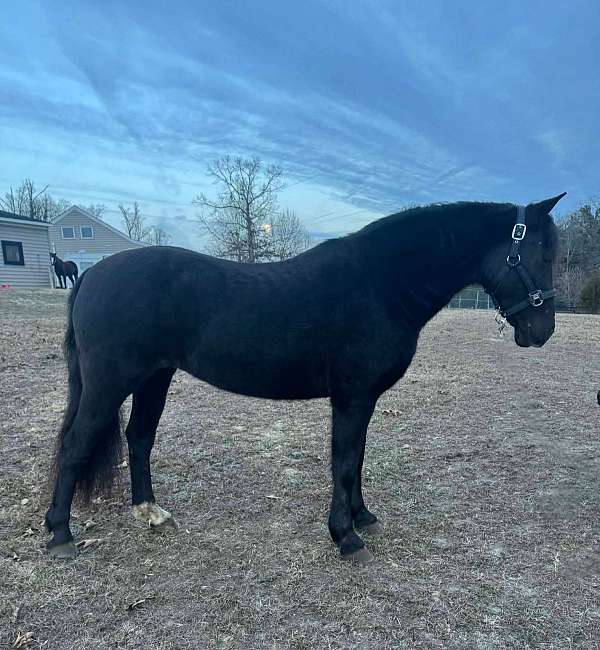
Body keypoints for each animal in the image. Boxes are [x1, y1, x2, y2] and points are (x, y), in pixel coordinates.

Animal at [45, 194, 565, 564]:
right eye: (539, 255)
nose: (542, 332)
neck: (380, 283)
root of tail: (92, 276)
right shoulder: (352, 398)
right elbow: (344, 462)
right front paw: (346, 537)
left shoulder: (361, 400)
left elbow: (356, 460)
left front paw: (363, 517)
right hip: (110, 382)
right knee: (75, 445)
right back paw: (60, 535)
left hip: (154, 376)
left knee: (138, 439)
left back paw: (149, 512)